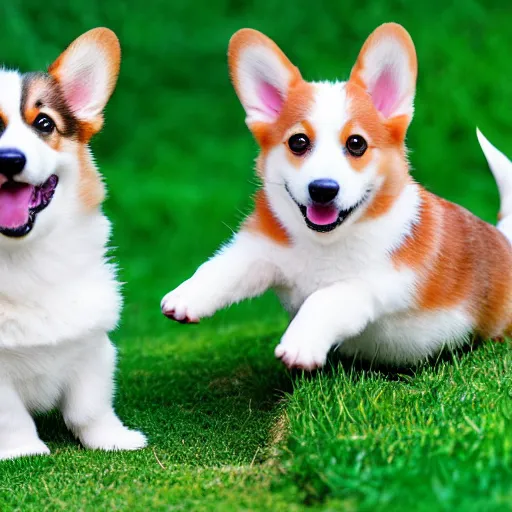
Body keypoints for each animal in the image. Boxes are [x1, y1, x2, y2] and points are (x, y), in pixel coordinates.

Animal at [0, 28, 146, 460]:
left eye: (44, 123)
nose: (9, 160)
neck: (23, 256)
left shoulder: (93, 345)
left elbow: (90, 406)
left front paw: (113, 439)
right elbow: (12, 417)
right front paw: (24, 451)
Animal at [163, 23, 512, 372]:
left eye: (356, 143)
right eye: (298, 142)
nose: (323, 188)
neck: (324, 242)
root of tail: (504, 239)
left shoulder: (374, 284)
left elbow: (325, 298)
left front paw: (299, 345)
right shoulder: (262, 251)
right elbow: (224, 266)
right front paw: (187, 296)